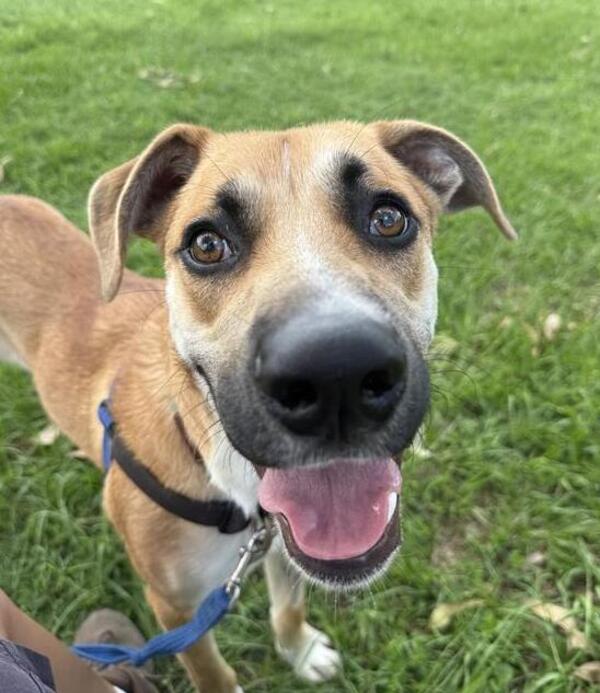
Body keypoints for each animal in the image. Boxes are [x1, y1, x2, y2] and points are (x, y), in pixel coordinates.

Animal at [0, 119, 516, 691]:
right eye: (206, 244)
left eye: (388, 218)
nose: (335, 371)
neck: (217, 465)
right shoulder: (175, 606)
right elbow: (213, 671)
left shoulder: (284, 547)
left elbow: (288, 608)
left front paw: (301, 652)